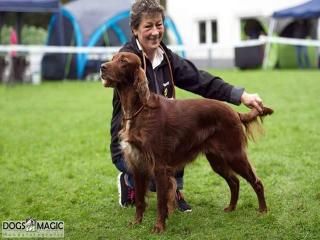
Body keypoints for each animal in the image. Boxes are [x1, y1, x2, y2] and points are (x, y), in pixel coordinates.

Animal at [100, 52, 272, 232]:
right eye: (112, 58)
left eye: (123, 61)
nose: (102, 67)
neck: (139, 110)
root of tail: (235, 112)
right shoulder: (137, 164)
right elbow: (140, 200)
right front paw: (136, 223)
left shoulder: (159, 166)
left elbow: (161, 201)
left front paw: (159, 227)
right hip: (216, 159)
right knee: (234, 181)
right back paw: (231, 208)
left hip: (234, 154)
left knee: (256, 181)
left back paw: (263, 211)